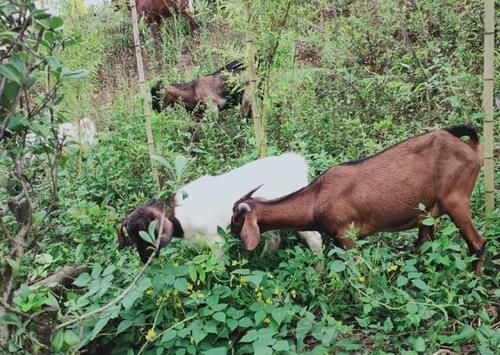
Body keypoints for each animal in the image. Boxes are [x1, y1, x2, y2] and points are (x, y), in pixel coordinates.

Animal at [116, 153, 322, 264]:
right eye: (131, 238)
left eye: (148, 230)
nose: (145, 260)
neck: (180, 215)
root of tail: (295, 164)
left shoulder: (216, 240)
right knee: (274, 239)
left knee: (314, 237)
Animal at [232, 126, 486, 276]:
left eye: (236, 219)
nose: (232, 235)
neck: (317, 198)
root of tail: (471, 147)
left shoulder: (348, 237)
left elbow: (359, 272)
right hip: (427, 213)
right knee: (424, 244)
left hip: (456, 200)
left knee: (478, 243)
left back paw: (474, 279)